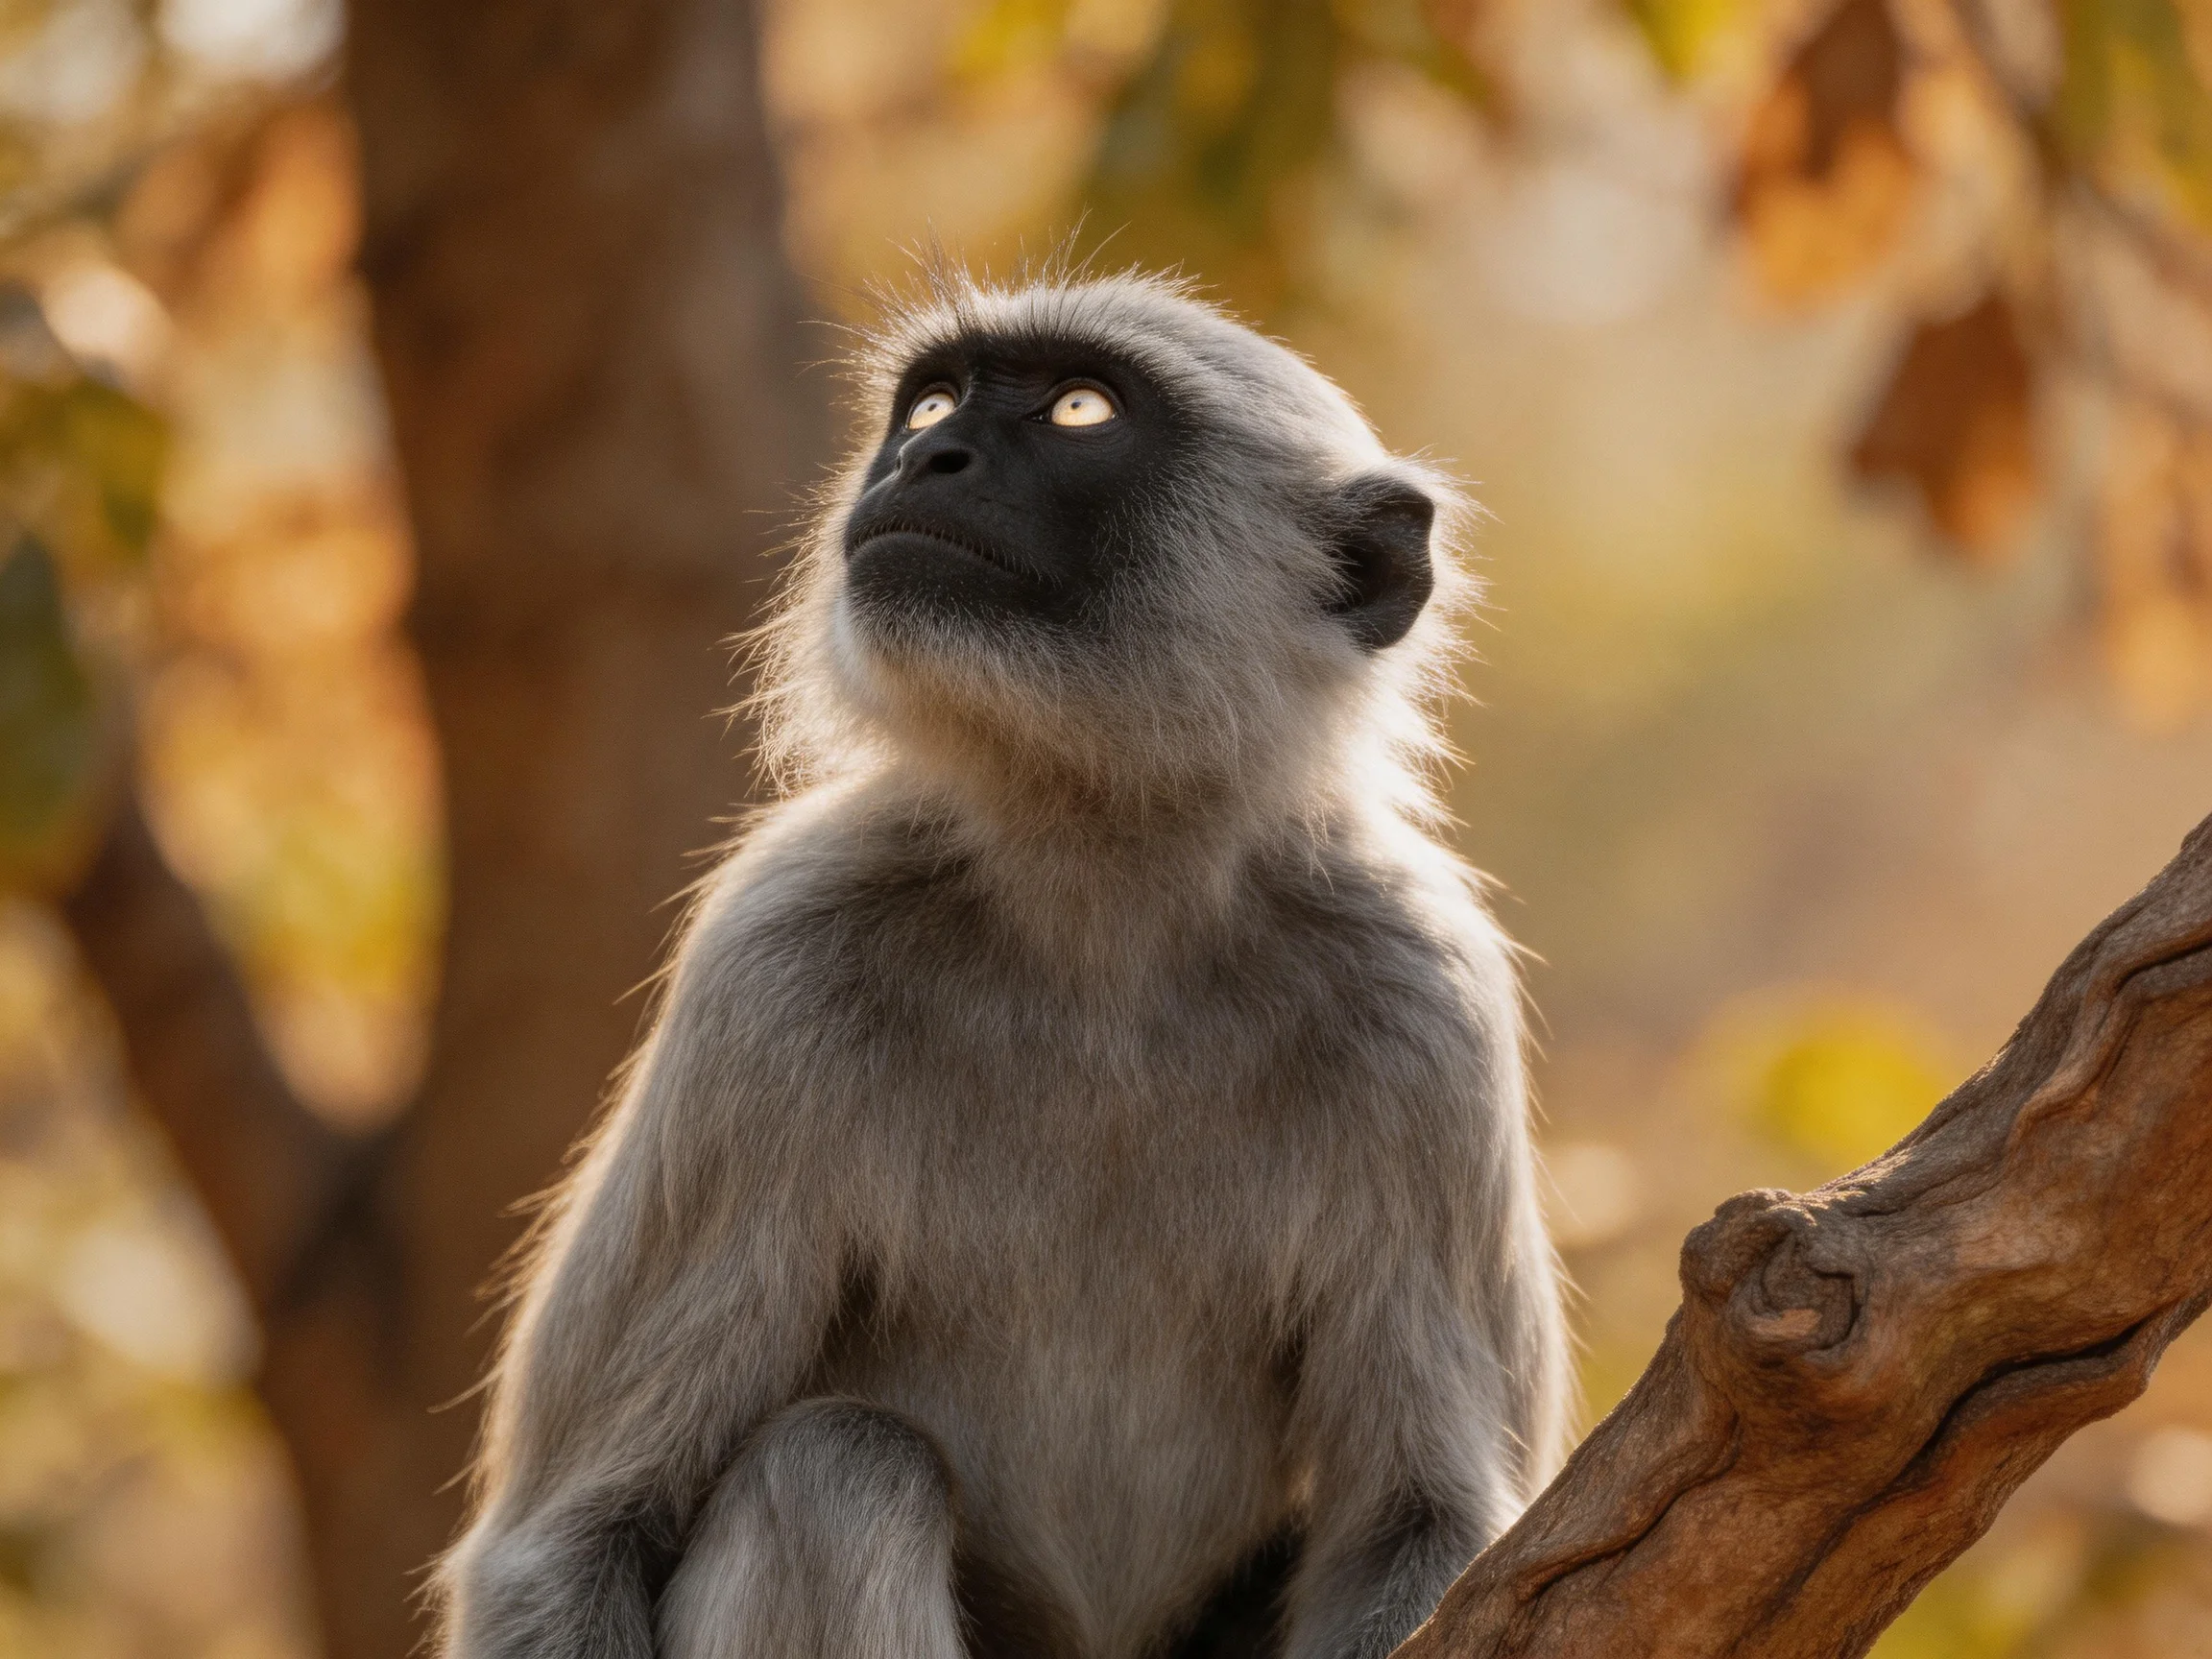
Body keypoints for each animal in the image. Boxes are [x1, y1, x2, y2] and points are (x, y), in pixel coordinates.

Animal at [435, 269, 1569, 1659]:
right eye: (931, 405)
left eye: (1081, 409)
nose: (925, 458)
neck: (1103, 913)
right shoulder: (771, 956)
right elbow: (565, 1543)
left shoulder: (1423, 999)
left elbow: (1419, 1523)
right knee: (838, 1467)